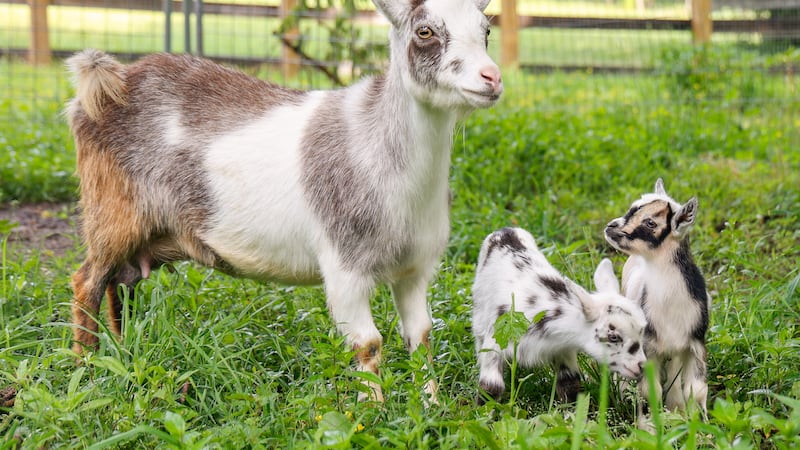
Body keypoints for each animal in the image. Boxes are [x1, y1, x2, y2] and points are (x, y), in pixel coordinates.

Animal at [64, 0, 503, 403]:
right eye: (425, 31)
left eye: (486, 29)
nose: (492, 78)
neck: (375, 144)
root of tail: (109, 83)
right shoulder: (344, 269)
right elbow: (368, 343)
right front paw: (376, 413)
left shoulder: (414, 269)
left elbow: (421, 335)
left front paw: (431, 405)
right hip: (111, 212)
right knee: (87, 281)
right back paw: (86, 368)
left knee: (121, 283)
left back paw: (123, 353)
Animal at [472, 227, 647, 404]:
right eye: (613, 337)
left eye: (641, 333)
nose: (641, 366)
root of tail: (505, 230)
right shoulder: (496, 340)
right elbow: (491, 387)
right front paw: (484, 410)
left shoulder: (563, 349)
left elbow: (569, 384)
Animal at [604, 178, 709, 422]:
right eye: (631, 208)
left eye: (650, 222)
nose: (611, 227)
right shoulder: (648, 348)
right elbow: (649, 390)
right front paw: (648, 424)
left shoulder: (695, 343)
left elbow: (697, 389)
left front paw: (699, 424)